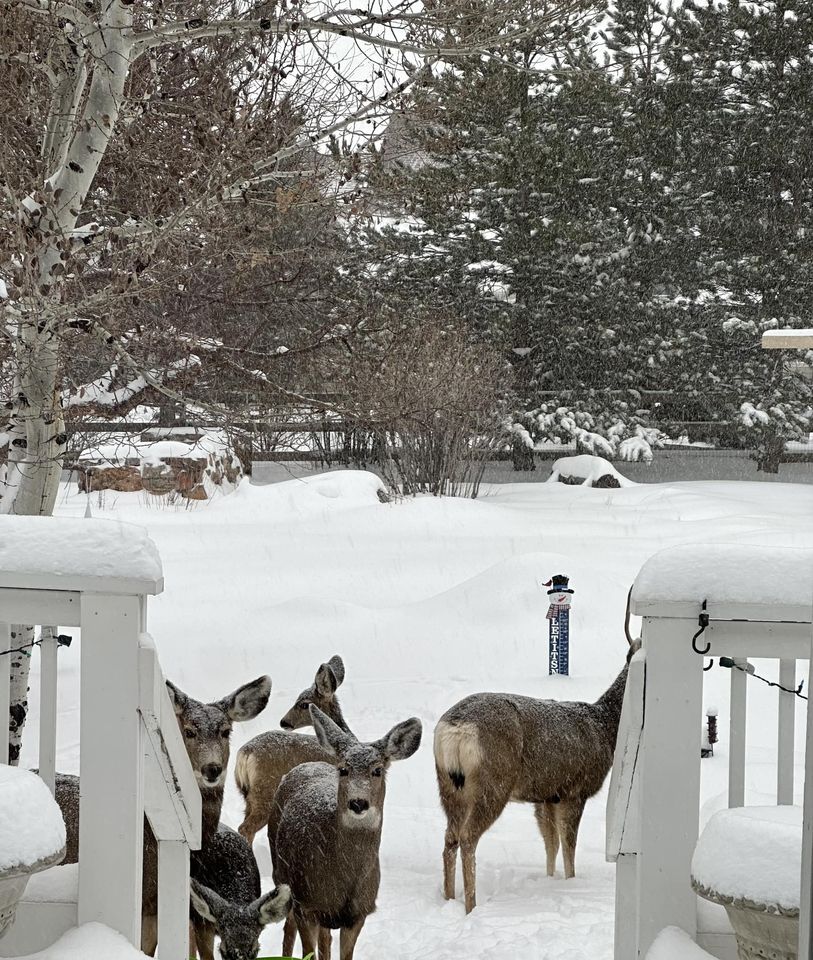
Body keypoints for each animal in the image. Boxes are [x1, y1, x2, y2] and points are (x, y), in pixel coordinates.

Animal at [235, 652, 348, 848]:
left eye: (303, 704)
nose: (284, 721)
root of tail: (245, 753)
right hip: (266, 791)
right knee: (245, 828)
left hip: (248, 795)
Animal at [272, 704, 426, 960]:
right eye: (343, 769)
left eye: (377, 770)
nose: (358, 803)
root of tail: (305, 765)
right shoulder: (305, 903)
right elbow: (307, 951)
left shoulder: (359, 913)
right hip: (282, 877)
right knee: (288, 929)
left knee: (325, 939)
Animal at [434, 612, 636, 912]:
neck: (604, 727)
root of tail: (456, 729)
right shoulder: (574, 790)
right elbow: (568, 848)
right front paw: (570, 885)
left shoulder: (547, 796)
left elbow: (551, 845)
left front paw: (549, 880)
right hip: (493, 784)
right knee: (468, 838)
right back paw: (472, 906)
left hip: (449, 786)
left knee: (450, 839)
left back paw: (448, 899)